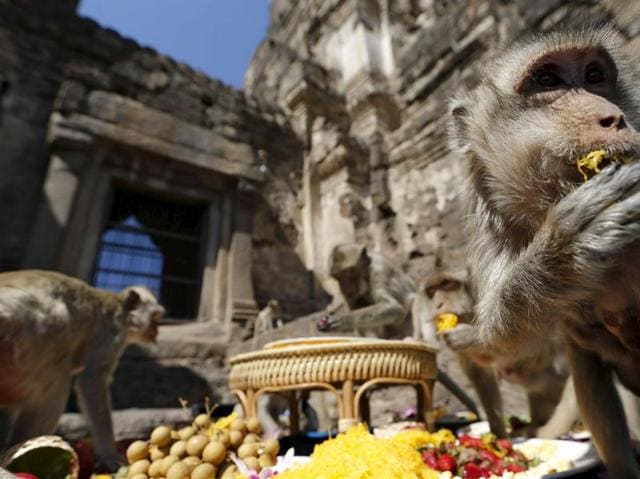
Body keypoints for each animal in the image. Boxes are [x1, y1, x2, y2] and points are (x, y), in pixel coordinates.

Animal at [0, 270, 165, 470]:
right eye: (155, 317)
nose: (157, 330)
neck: (120, 310)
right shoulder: (111, 335)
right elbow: (92, 380)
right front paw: (110, 455)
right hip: (25, 341)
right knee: (57, 380)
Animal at [451, 26, 640, 477]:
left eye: (594, 76)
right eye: (548, 80)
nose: (613, 117)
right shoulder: (495, 222)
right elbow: (506, 346)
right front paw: (564, 252)